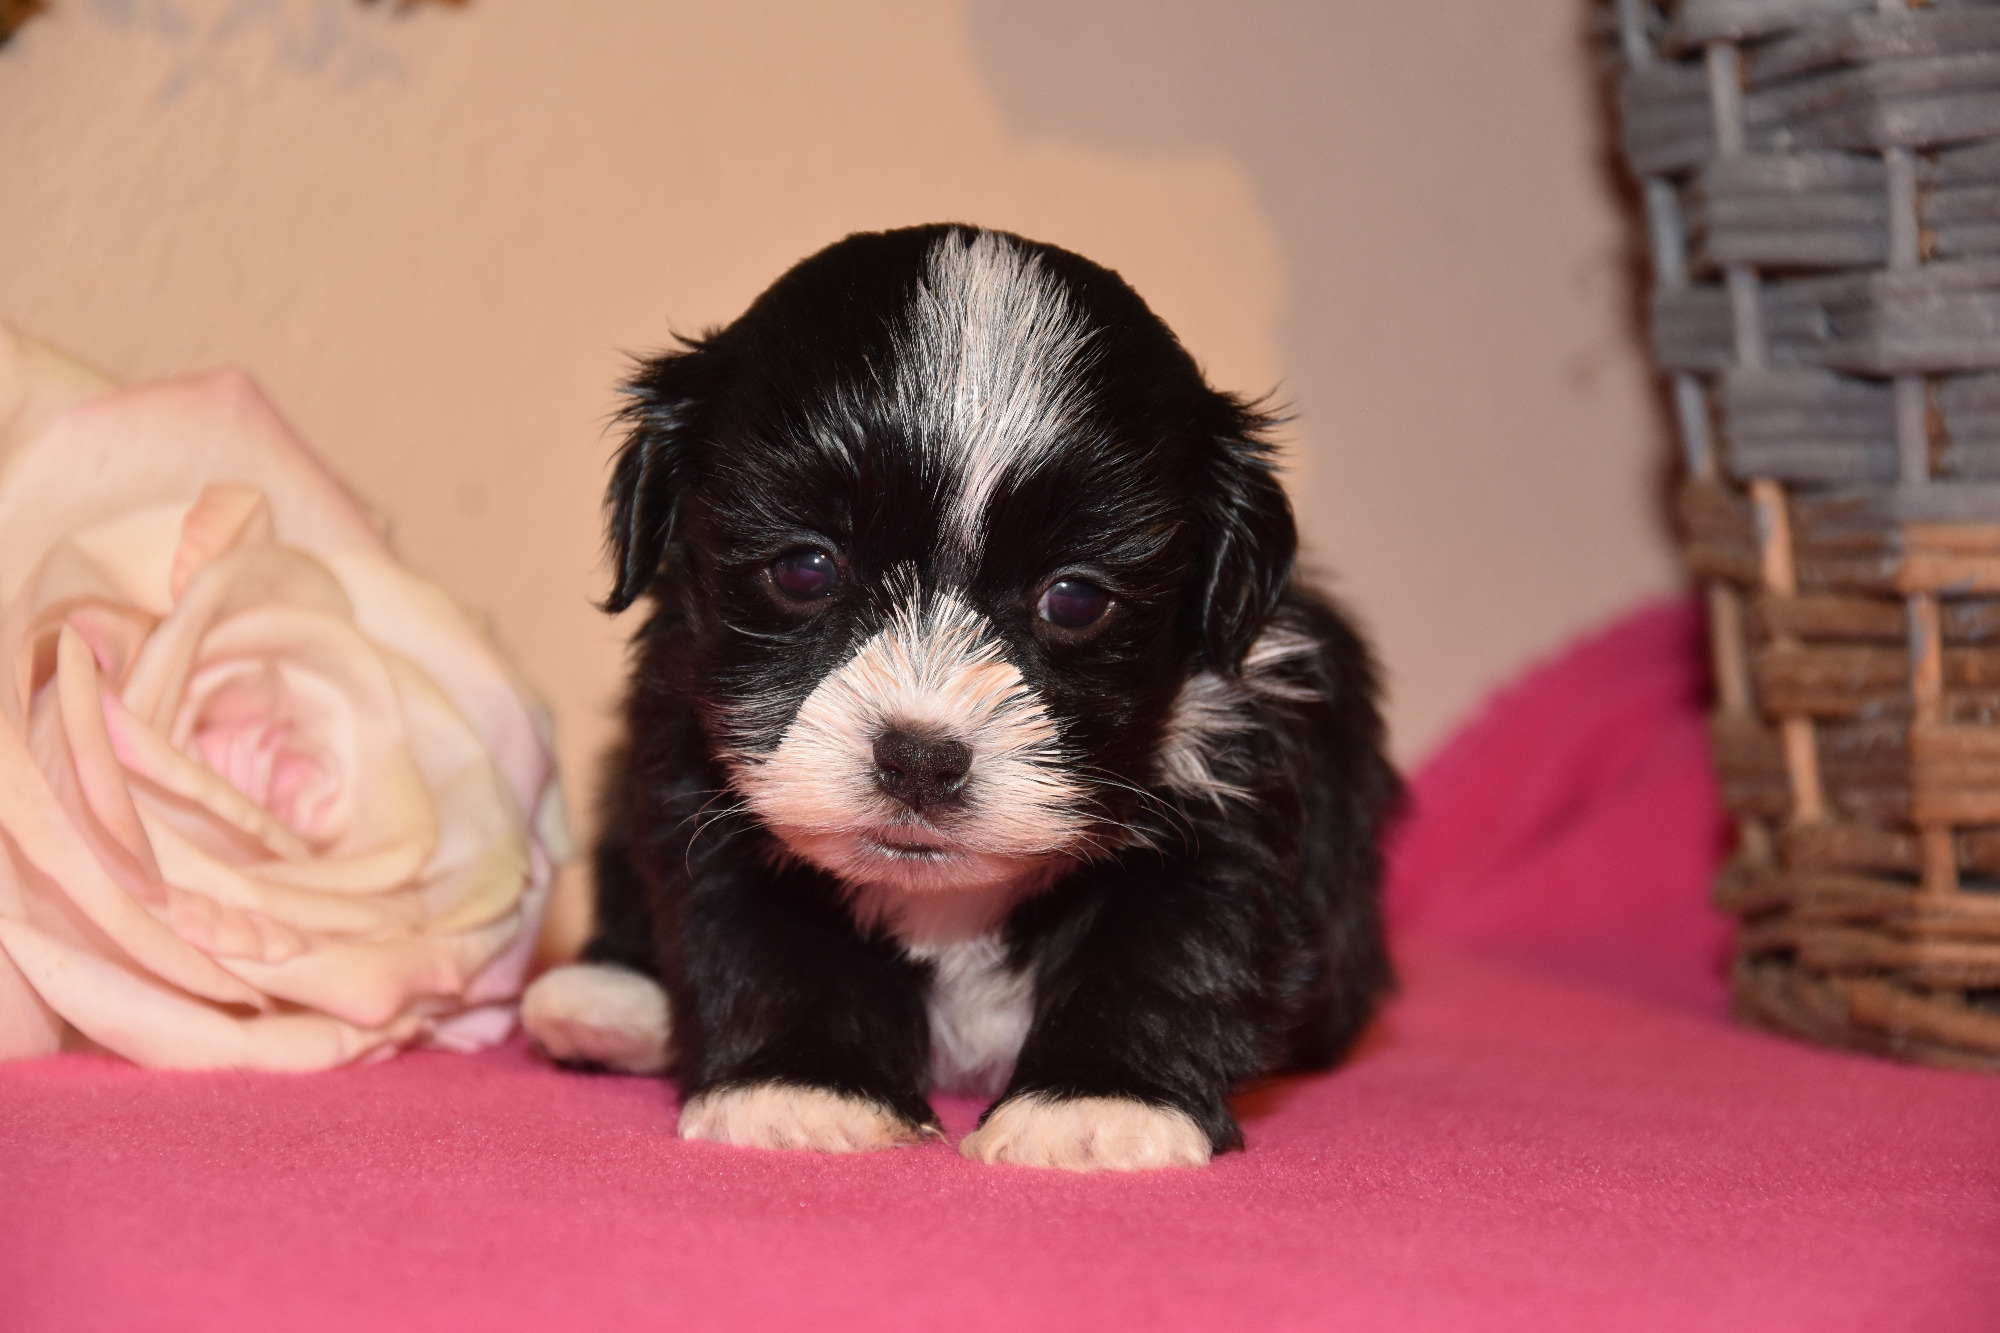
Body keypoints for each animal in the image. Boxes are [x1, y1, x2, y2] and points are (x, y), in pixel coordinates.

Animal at [522, 224, 1396, 1171]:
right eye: (804, 568)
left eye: (1075, 598)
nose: (918, 759)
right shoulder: (697, 772)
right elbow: (758, 928)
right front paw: (804, 1084)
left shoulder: (1235, 773)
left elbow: (1176, 942)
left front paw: (1096, 1100)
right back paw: (609, 1001)